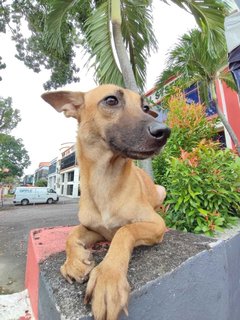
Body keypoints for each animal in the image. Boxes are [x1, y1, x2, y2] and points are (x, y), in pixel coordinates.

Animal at [42, 84, 172, 318]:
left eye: (144, 107)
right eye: (111, 100)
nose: (164, 131)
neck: (105, 181)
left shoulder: (156, 224)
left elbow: (124, 231)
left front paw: (108, 277)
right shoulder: (94, 229)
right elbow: (71, 234)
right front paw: (74, 261)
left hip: (161, 190)